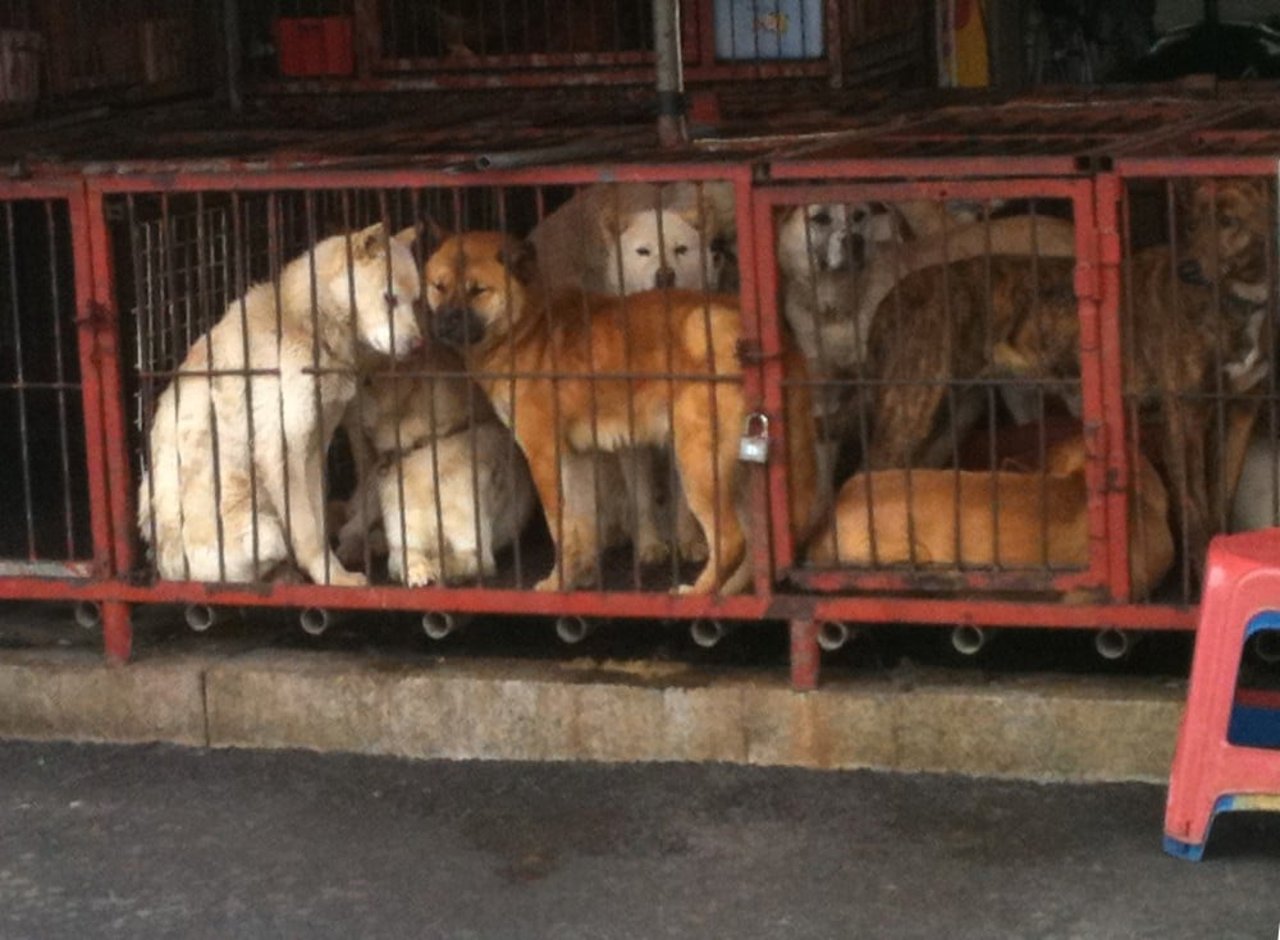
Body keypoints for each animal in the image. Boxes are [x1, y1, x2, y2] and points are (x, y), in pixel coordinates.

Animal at [138, 224, 424, 586]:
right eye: (390, 298)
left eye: (416, 301)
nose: (417, 346)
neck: (308, 328)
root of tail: (164, 568)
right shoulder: (281, 447)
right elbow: (308, 532)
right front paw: (335, 578)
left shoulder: (314, 446)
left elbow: (316, 519)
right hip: (260, 529)